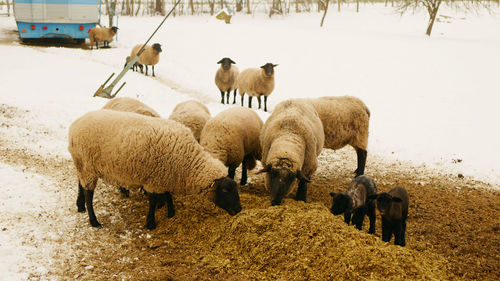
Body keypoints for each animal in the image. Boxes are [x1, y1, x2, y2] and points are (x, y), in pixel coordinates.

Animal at [68, 108, 242, 229]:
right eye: (225, 190)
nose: (239, 209)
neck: (189, 162)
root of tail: (74, 125)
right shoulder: (154, 179)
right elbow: (153, 201)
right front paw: (151, 223)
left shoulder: (165, 175)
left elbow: (168, 194)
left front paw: (171, 213)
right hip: (87, 165)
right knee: (89, 193)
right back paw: (93, 220)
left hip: (83, 164)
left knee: (80, 183)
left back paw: (80, 205)